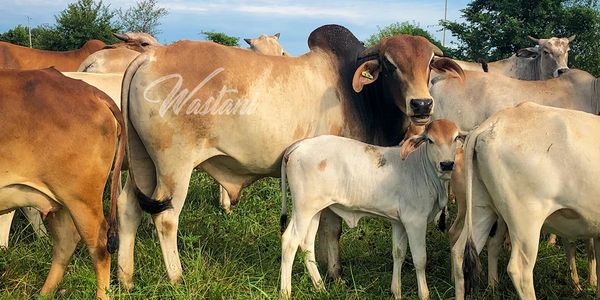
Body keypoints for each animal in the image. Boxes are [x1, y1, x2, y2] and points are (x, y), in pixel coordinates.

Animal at [280, 119, 464, 300]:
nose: (447, 164)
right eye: (430, 140)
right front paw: (424, 294)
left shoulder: (399, 222)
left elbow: (398, 253)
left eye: (456, 138)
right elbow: (420, 259)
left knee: (306, 243)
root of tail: (300, 145)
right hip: (303, 209)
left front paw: (396, 292)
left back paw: (320, 288)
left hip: (314, 211)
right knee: (290, 242)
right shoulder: (415, 222)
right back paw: (285, 292)